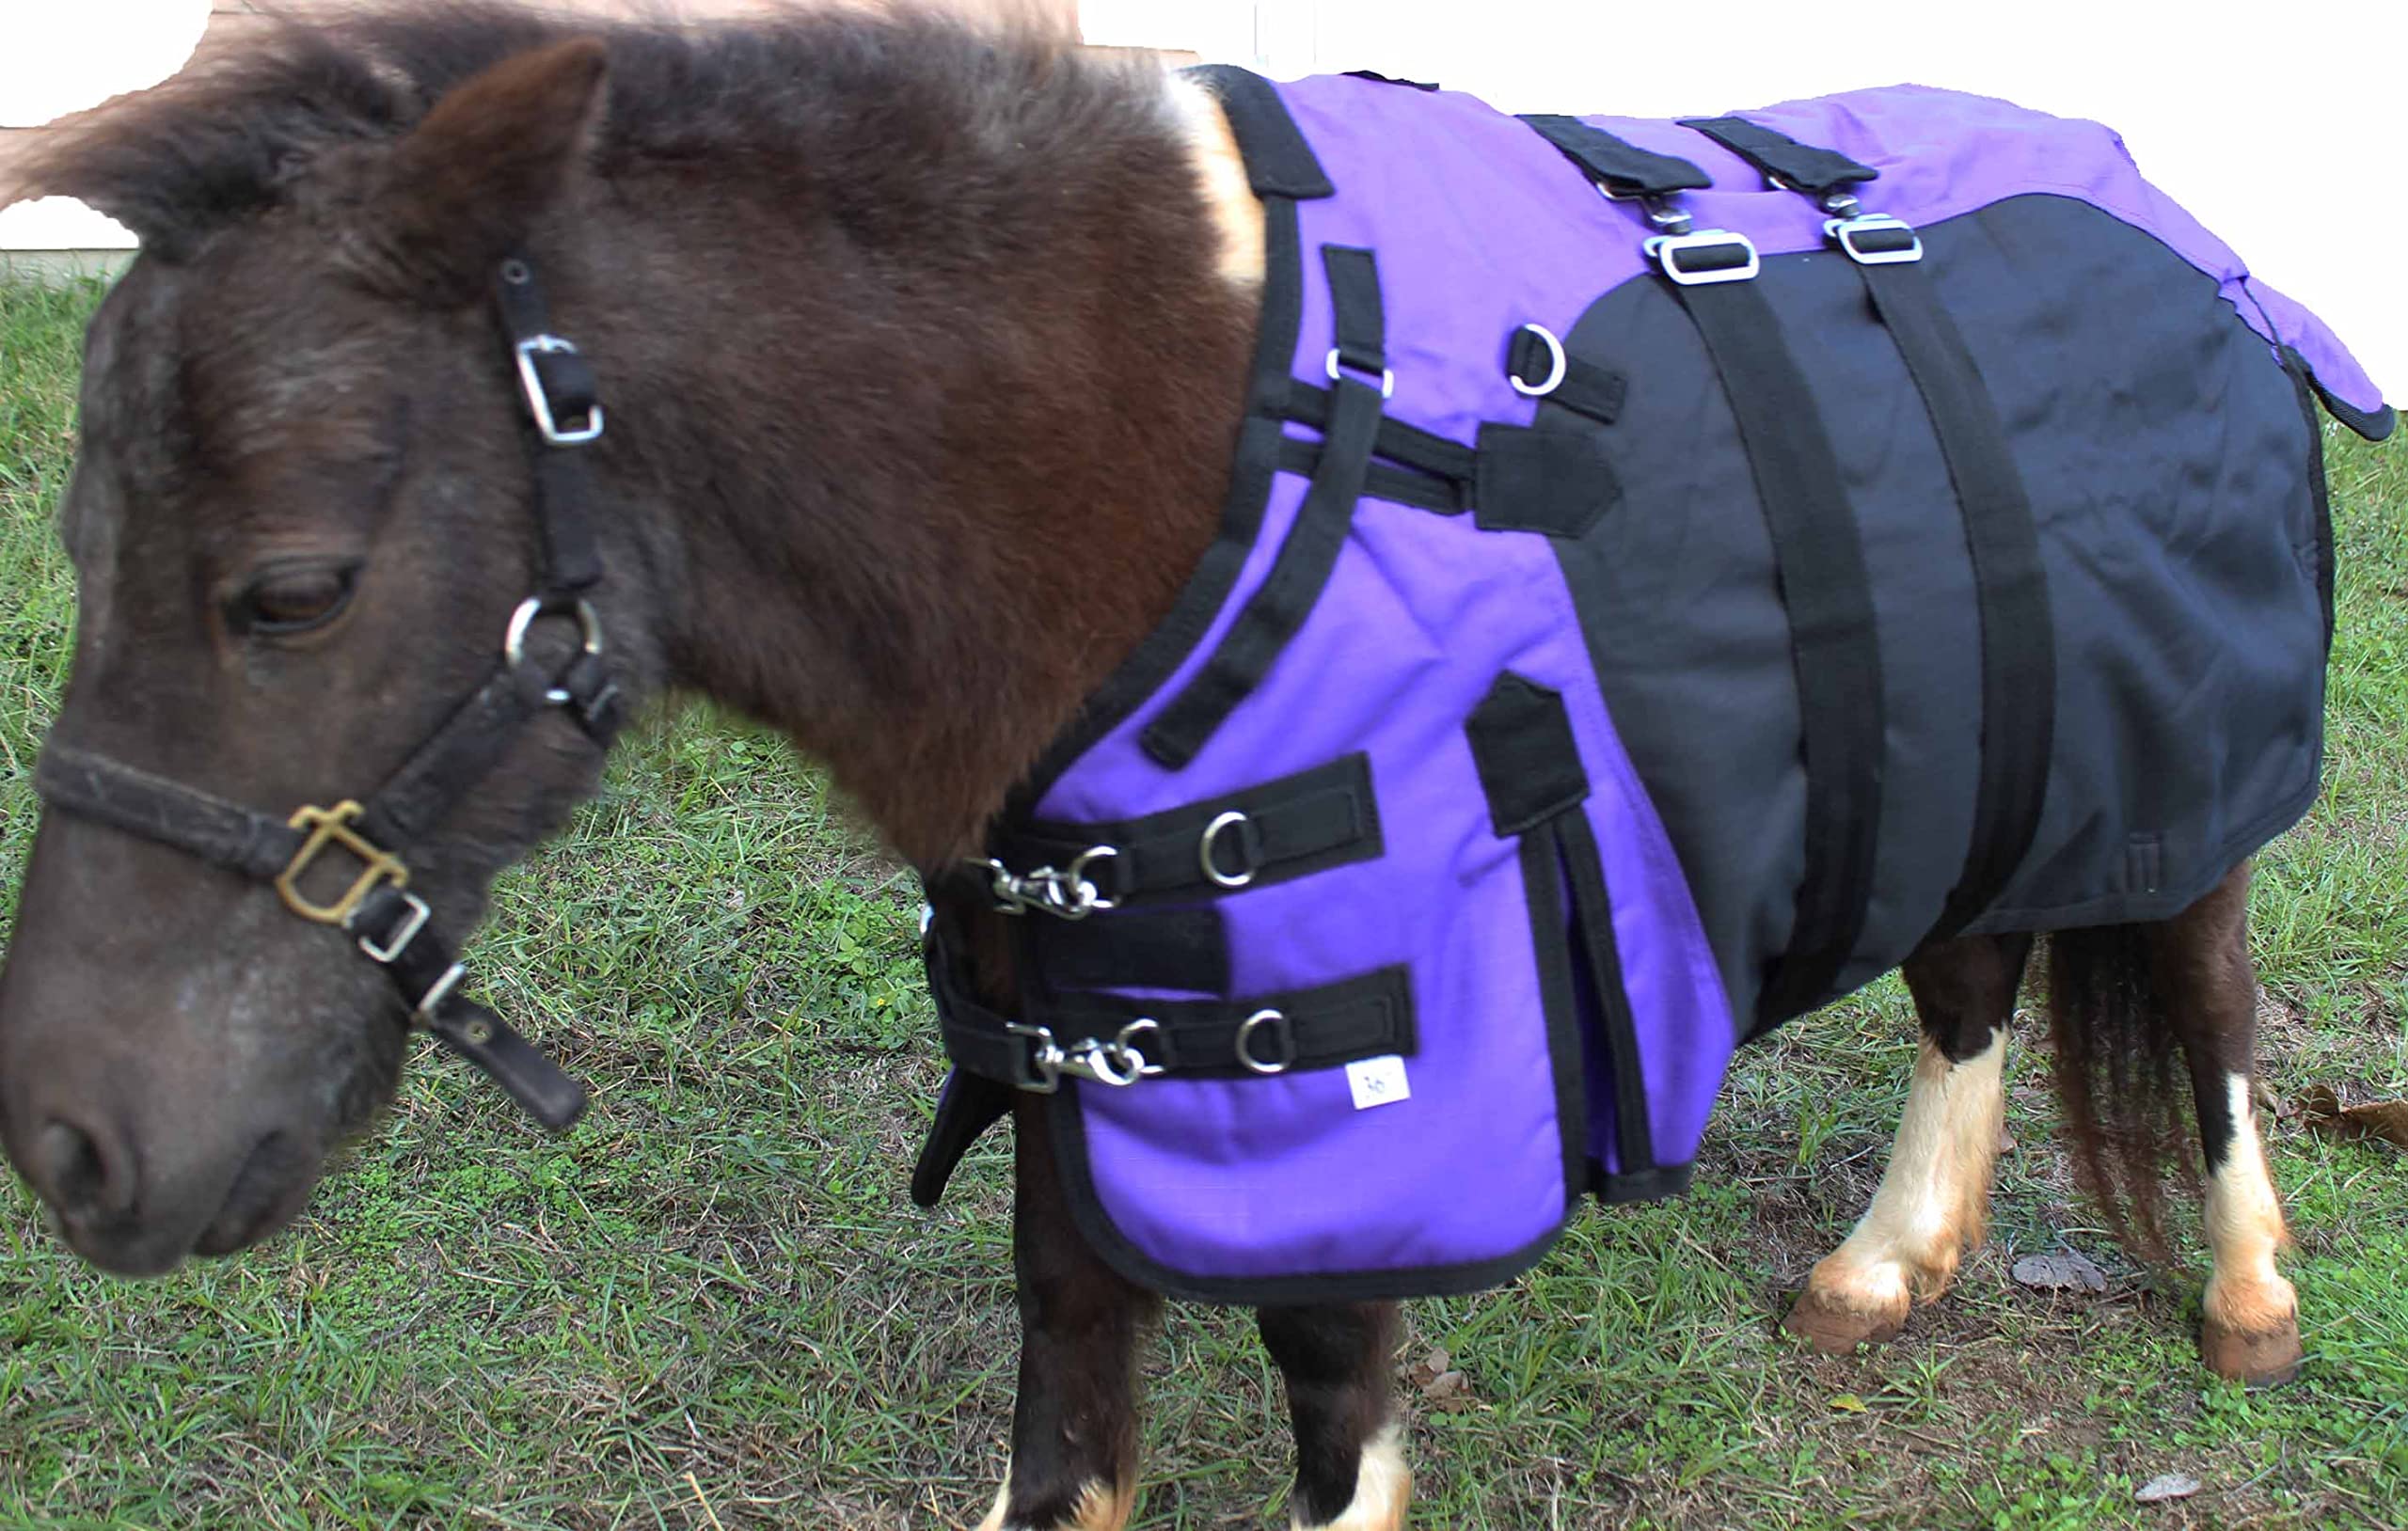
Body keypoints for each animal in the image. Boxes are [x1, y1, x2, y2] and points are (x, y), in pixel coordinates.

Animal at [0, 9, 2341, 1528]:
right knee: (1968, 977)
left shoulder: (1365, 1161)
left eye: (290, 589)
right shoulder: (1080, 1085)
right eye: (82, 542)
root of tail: (2181, 226)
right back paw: (1886, 1259)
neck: (1161, 477)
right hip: (1986, 765)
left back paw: (2243, 1296)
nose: (76, 1146)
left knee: (2203, 996)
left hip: (2177, 788)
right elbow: (1064, 1442)